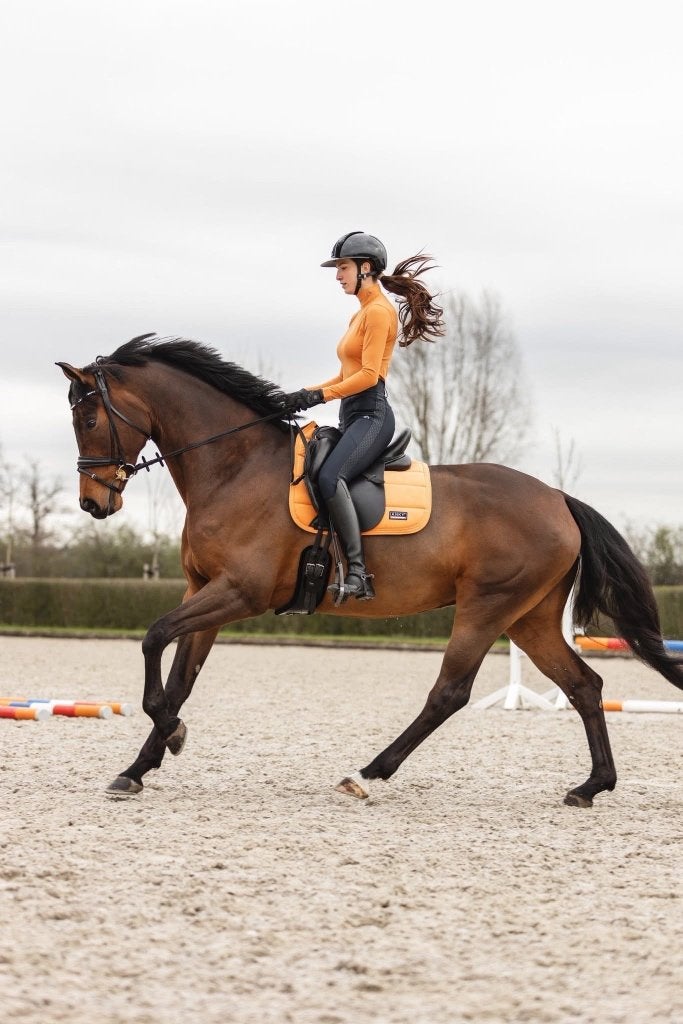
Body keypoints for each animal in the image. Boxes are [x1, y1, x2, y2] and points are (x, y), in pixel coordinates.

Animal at [58, 335, 683, 806]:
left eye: (88, 416)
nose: (93, 503)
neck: (235, 468)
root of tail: (558, 498)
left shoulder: (240, 592)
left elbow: (153, 638)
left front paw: (173, 735)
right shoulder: (204, 590)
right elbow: (180, 679)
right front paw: (139, 766)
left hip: (488, 606)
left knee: (450, 692)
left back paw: (367, 774)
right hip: (528, 618)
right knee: (583, 686)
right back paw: (592, 785)